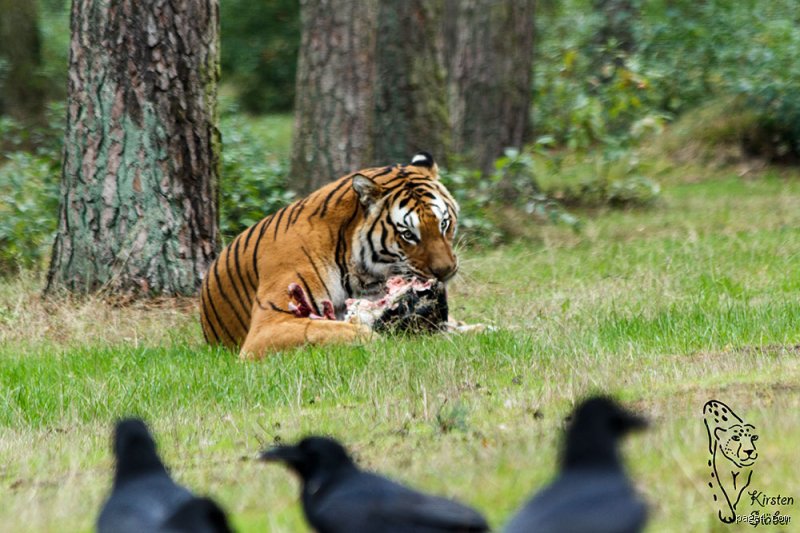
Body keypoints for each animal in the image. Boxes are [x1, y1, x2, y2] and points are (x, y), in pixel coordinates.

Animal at [200, 152, 459, 359]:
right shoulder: (267, 327)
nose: (445, 272)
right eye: (408, 234)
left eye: (444, 224)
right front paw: (376, 341)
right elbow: (325, 329)